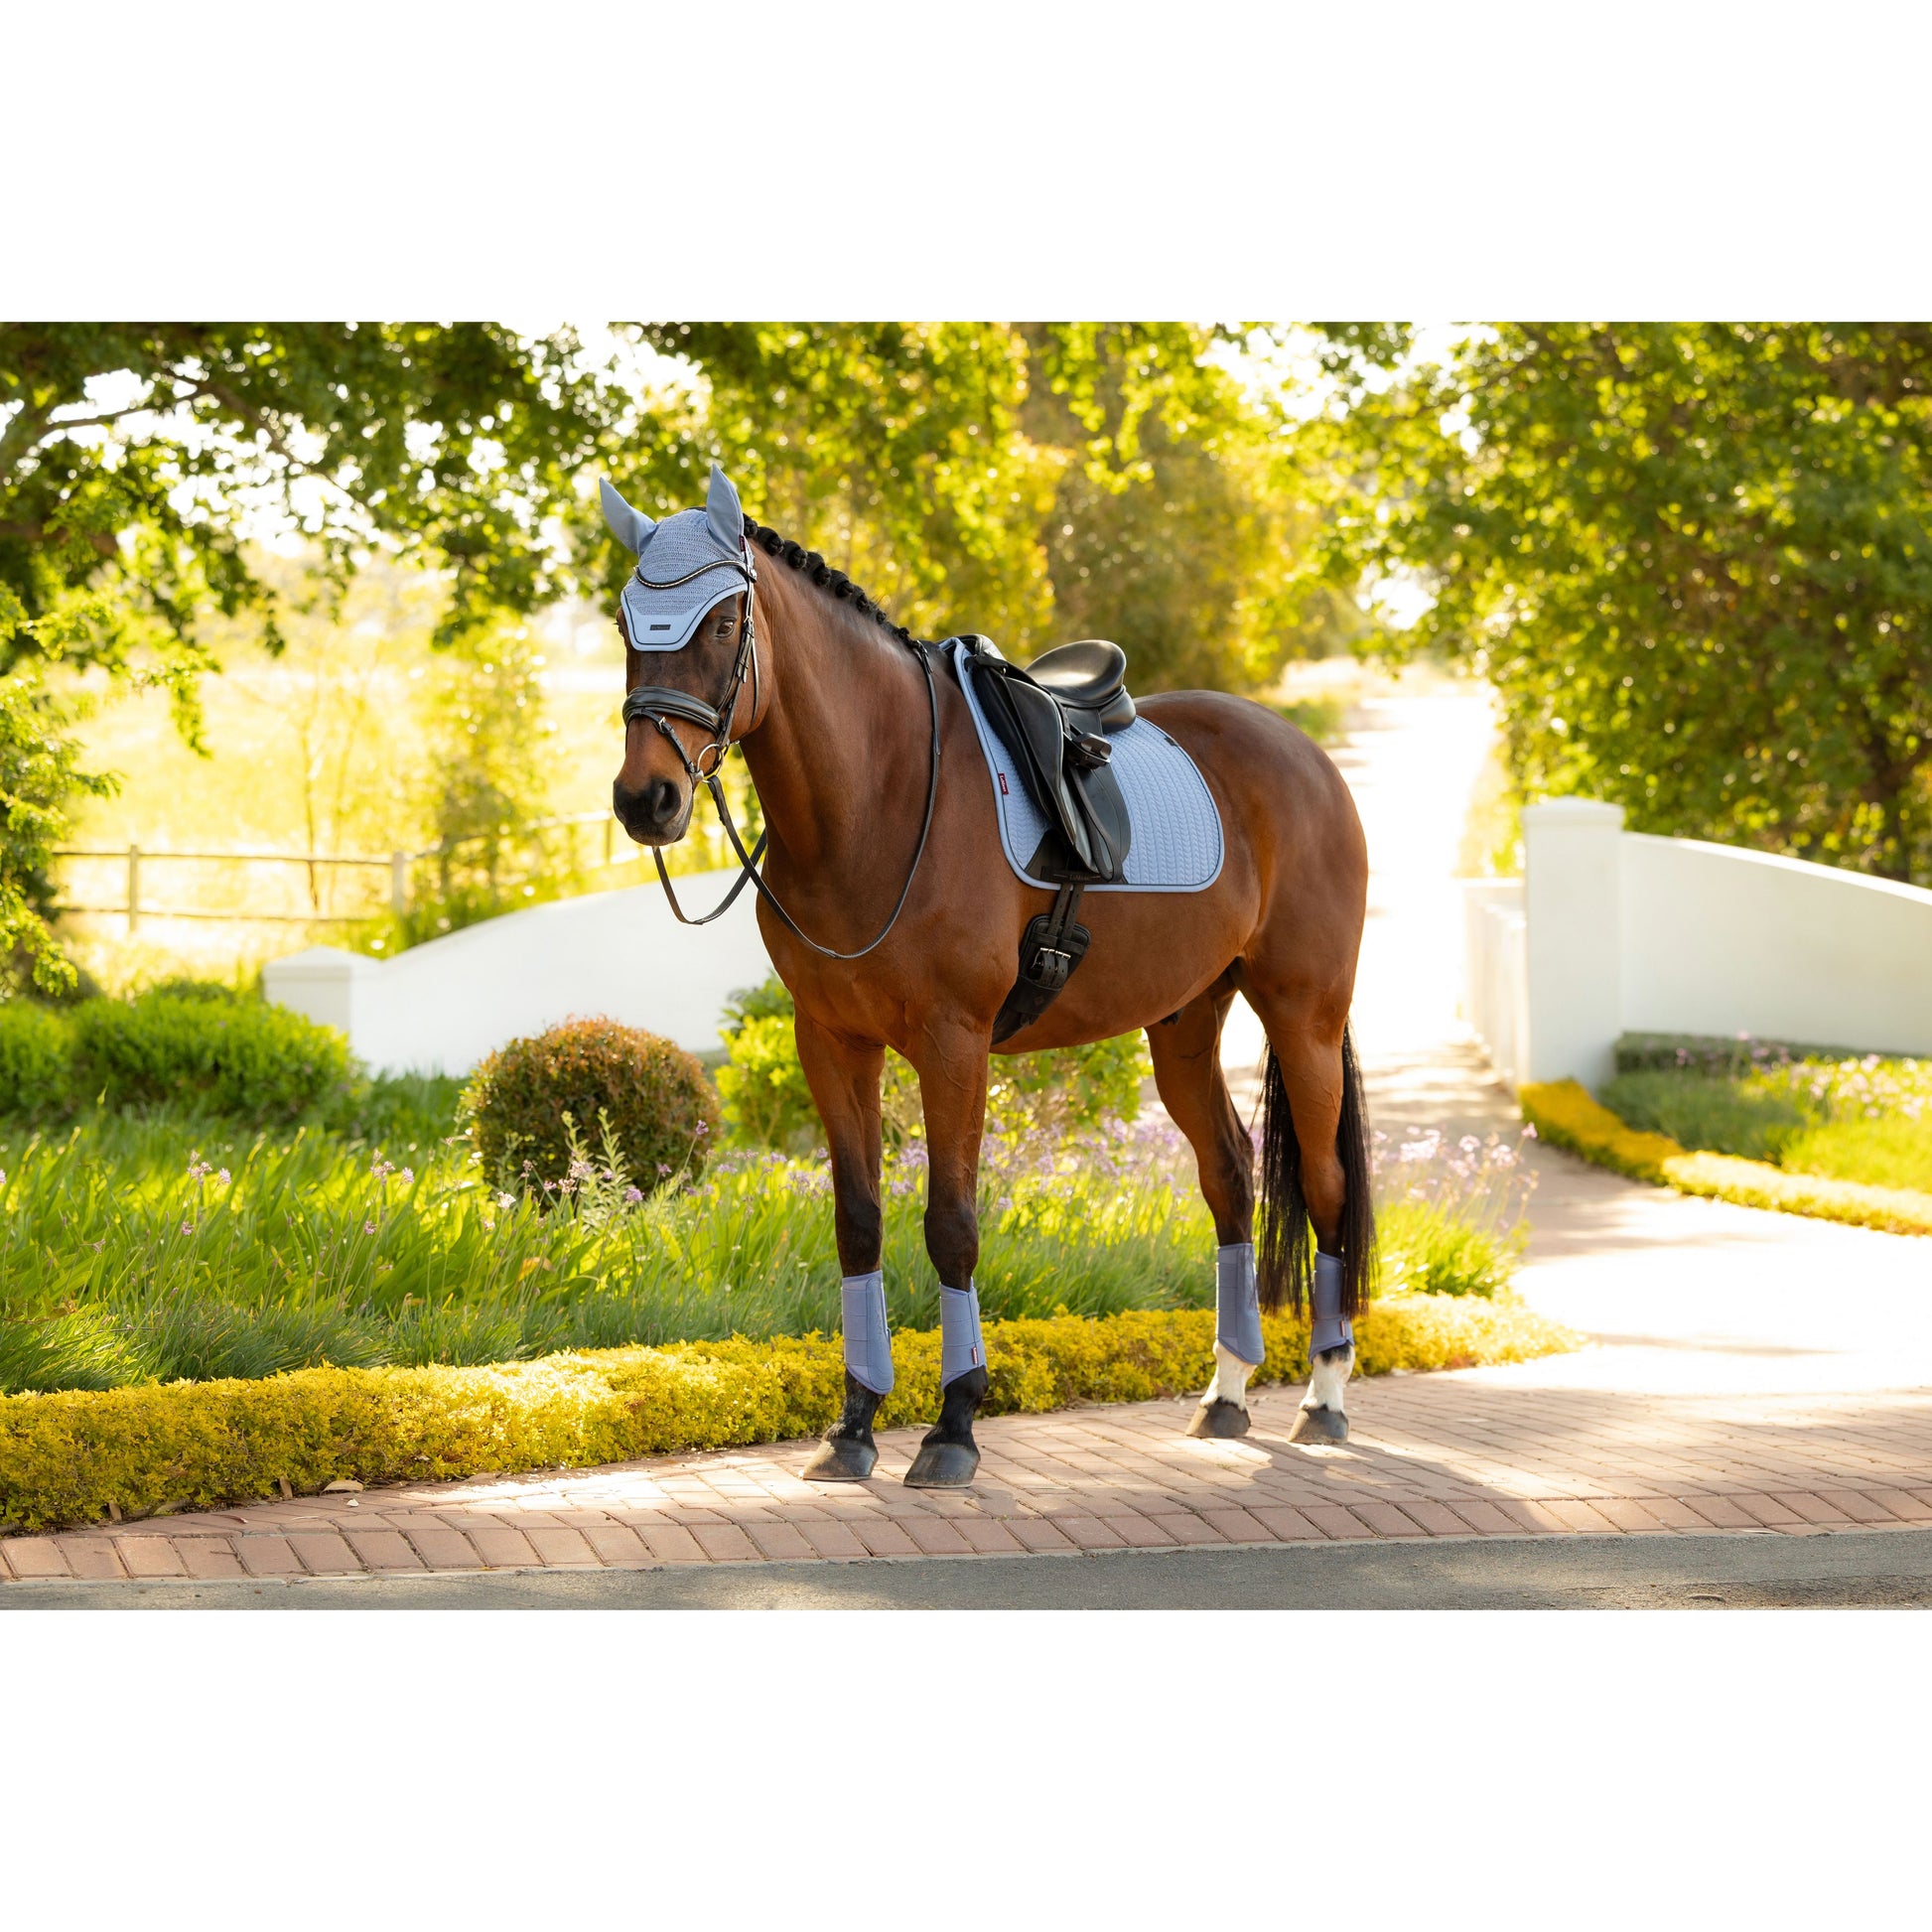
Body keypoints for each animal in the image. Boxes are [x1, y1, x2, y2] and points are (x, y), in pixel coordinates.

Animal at [605, 464, 1373, 1488]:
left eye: (725, 622)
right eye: (626, 623)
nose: (645, 799)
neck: (881, 795)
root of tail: (1305, 757)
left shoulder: (953, 1042)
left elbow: (952, 1223)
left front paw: (954, 1427)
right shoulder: (832, 1041)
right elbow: (859, 1221)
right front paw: (853, 1426)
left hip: (1303, 1016)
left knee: (1326, 1188)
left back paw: (1324, 1398)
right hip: (1183, 1024)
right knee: (1227, 1175)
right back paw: (1226, 1393)